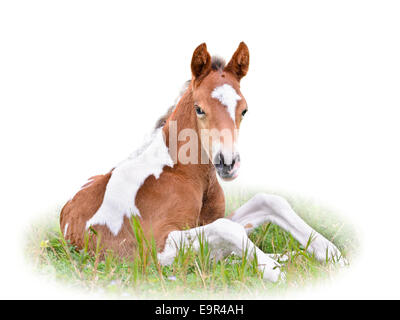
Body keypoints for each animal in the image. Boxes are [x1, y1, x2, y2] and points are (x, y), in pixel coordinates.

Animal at [59, 42, 344, 280]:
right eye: (199, 109)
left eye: (244, 110)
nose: (228, 163)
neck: (179, 172)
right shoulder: (152, 249)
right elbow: (228, 228)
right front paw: (275, 272)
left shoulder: (210, 224)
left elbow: (269, 201)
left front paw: (333, 255)